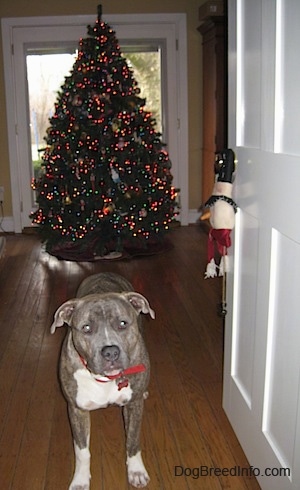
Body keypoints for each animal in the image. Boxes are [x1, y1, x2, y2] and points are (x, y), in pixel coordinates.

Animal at [49, 272, 155, 490]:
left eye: (123, 323)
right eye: (86, 328)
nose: (110, 351)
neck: (107, 379)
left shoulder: (134, 406)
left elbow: (133, 440)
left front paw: (136, 471)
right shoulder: (77, 410)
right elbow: (82, 452)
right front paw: (80, 480)